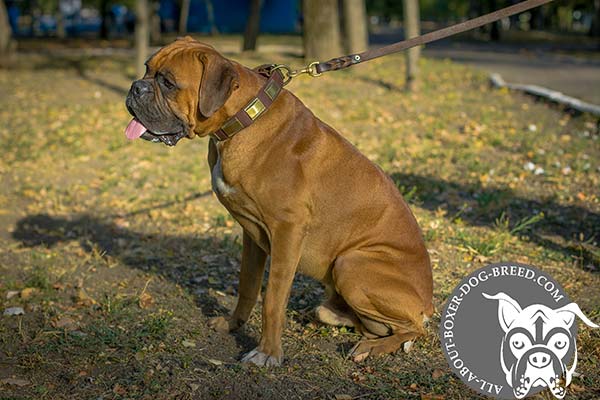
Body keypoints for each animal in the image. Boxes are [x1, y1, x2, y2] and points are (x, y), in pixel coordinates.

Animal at [125, 36, 432, 366]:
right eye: (146, 68)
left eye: (168, 82)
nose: (135, 87)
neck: (241, 121)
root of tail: (428, 303)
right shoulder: (252, 234)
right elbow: (247, 285)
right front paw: (233, 324)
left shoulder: (288, 231)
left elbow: (272, 298)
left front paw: (267, 352)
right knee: (361, 321)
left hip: (351, 262)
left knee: (413, 329)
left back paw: (372, 347)